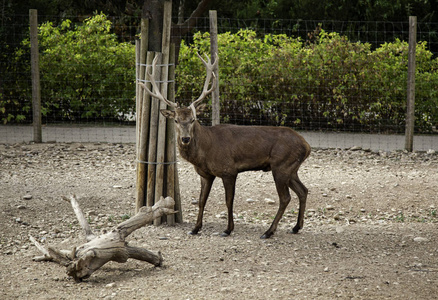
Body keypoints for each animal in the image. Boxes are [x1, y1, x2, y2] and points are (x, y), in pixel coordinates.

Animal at [139, 52, 310, 239]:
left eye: (193, 119)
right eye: (176, 120)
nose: (185, 138)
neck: (205, 152)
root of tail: (307, 146)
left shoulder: (229, 170)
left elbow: (228, 201)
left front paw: (228, 229)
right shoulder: (205, 174)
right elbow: (201, 200)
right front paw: (195, 228)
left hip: (281, 165)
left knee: (285, 197)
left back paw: (269, 231)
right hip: (291, 168)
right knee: (303, 190)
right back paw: (295, 227)